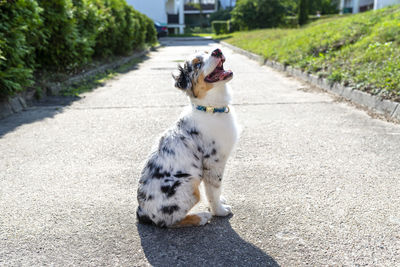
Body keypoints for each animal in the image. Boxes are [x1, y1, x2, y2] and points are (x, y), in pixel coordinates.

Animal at [136, 48, 239, 228]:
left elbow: (213, 191)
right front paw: (219, 211)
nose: (217, 50)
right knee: (169, 221)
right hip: (189, 184)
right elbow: (214, 190)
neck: (210, 108)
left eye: (207, 51)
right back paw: (201, 217)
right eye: (197, 64)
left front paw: (221, 201)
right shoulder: (213, 162)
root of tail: (141, 211)